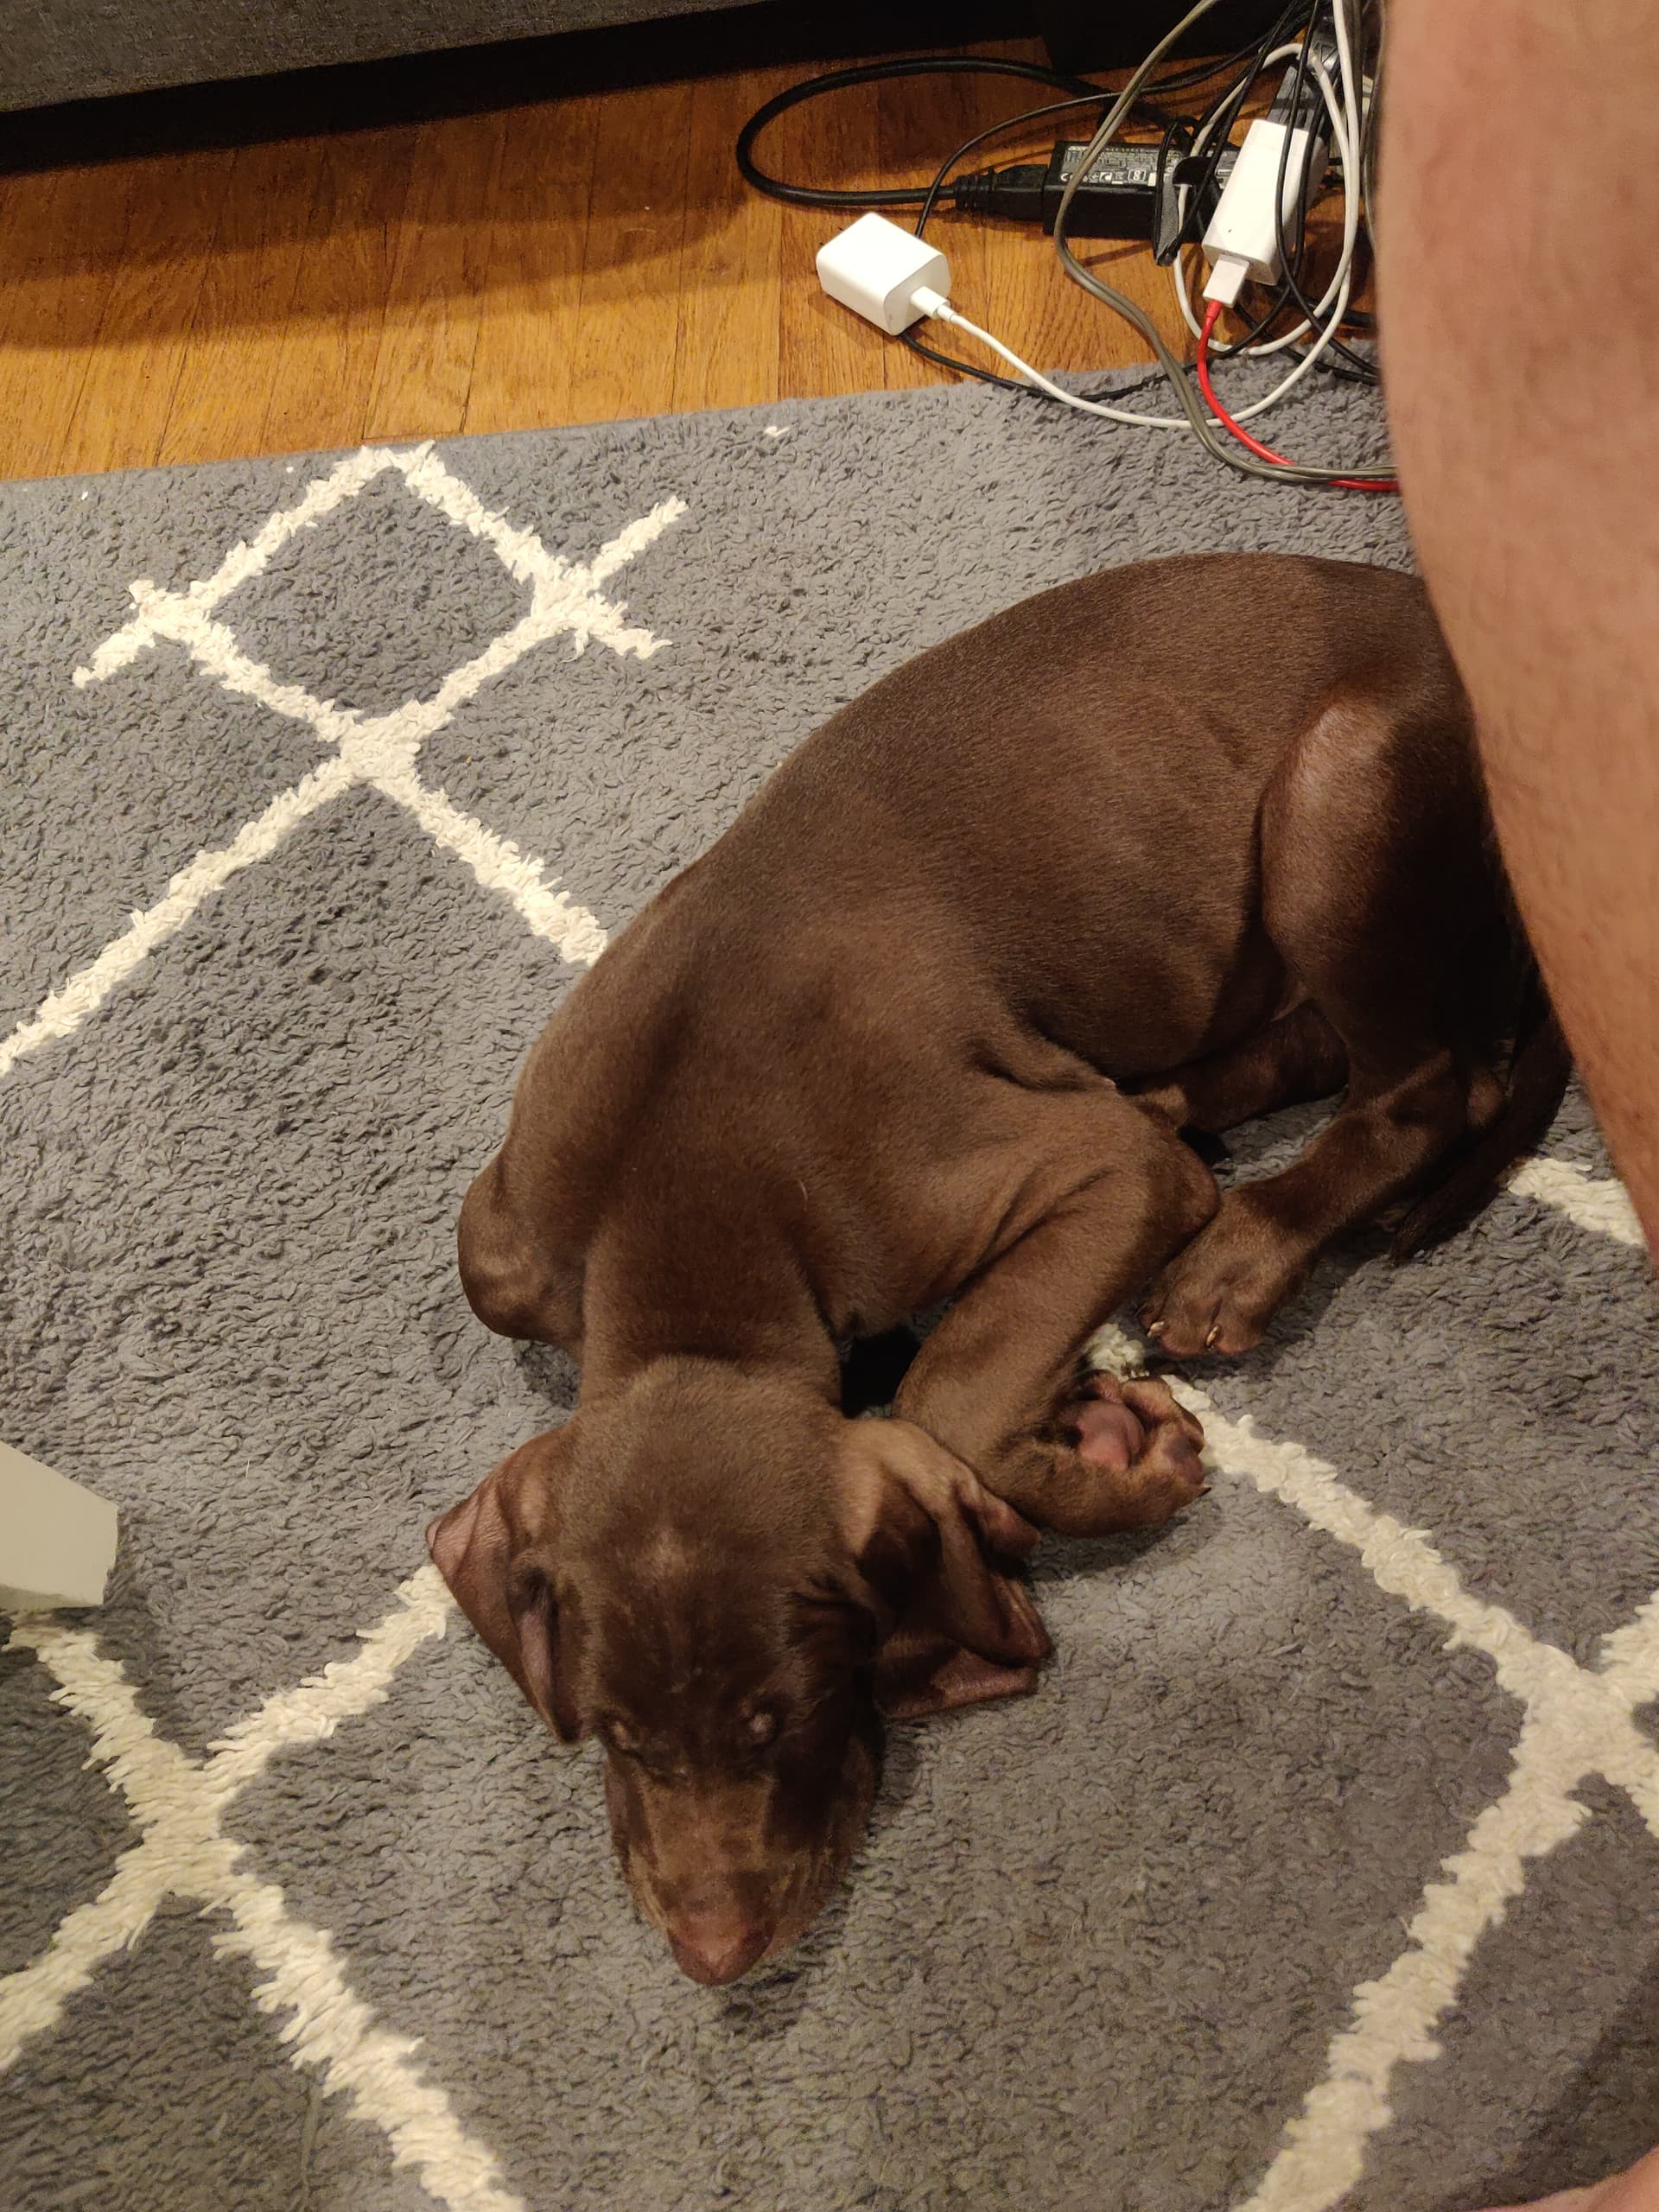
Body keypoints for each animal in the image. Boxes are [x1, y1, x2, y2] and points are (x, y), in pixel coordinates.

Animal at [429, 553, 1565, 1985]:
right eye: (617, 1733)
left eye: (785, 1716)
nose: (714, 1954)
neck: (680, 1235)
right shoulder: (509, 1231)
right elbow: (491, 1271)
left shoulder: (1073, 1175)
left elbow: (954, 1393)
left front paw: (1089, 1476)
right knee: (1316, 1050)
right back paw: (1179, 1093)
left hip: (1339, 790)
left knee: (1424, 1088)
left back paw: (1243, 1248)